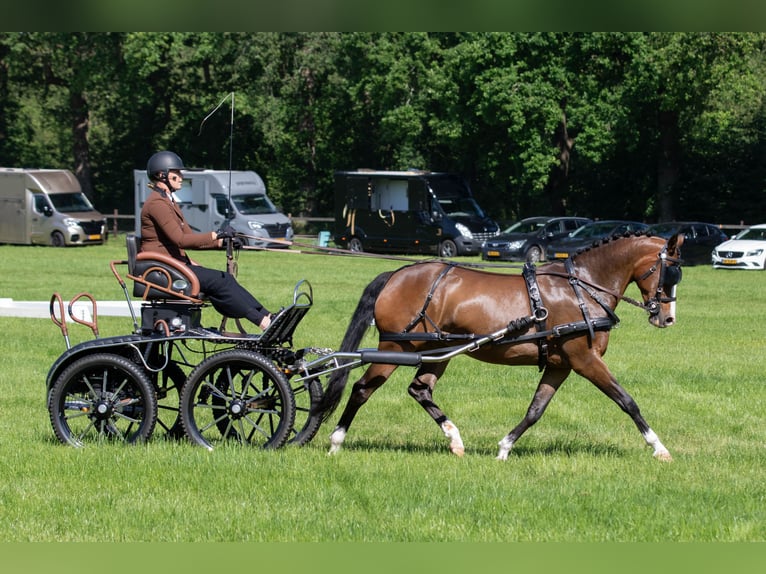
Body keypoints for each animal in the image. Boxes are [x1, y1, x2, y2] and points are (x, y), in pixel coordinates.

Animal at [312, 231, 683, 461]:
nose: (667, 318)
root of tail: (396, 274)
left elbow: (535, 410)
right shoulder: (584, 360)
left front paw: (505, 447)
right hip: (396, 347)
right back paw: (336, 441)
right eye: (670, 273)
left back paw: (455, 439)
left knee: (420, 389)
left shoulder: (560, 365)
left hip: (437, 352)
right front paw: (659, 447)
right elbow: (626, 401)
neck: (582, 289)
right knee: (362, 388)